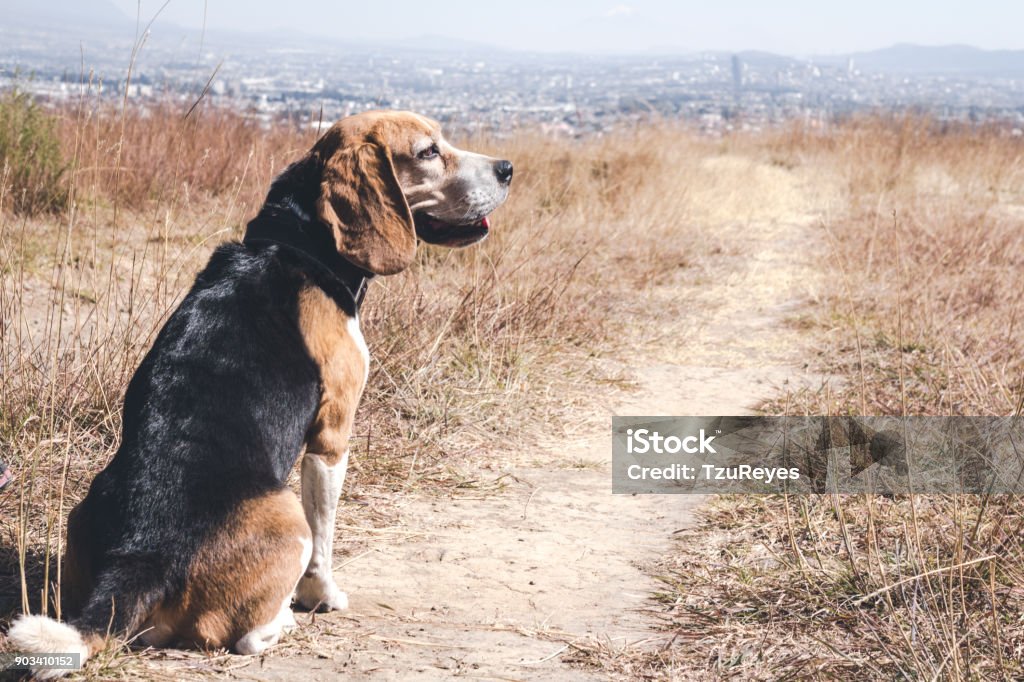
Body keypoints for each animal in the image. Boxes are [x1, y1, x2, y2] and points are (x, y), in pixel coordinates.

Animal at [9, 109, 512, 671]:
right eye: (428, 152)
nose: (507, 169)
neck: (296, 242)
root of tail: (141, 554)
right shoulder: (332, 437)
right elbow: (326, 536)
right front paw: (322, 597)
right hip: (286, 514)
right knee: (245, 635)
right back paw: (284, 620)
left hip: (83, 511)